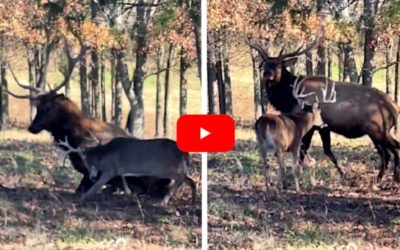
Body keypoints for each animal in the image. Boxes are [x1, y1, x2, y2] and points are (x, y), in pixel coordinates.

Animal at [58, 136, 197, 206]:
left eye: (86, 163)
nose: (92, 177)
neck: (102, 155)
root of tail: (185, 154)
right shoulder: (119, 169)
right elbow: (123, 179)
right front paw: (131, 195)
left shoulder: (109, 169)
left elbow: (96, 186)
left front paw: (81, 199)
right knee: (190, 180)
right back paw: (192, 201)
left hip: (164, 168)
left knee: (182, 178)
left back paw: (163, 201)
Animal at [247, 38, 400, 183]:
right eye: (265, 63)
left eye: (279, 64)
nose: (267, 74)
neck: (289, 98)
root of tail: (394, 108)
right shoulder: (323, 127)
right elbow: (327, 150)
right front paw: (342, 173)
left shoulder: (310, 124)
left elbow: (303, 149)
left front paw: (297, 174)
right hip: (377, 132)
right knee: (387, 152)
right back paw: (382, 178)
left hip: (377, 130)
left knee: (392, 149)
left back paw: (391, 177)